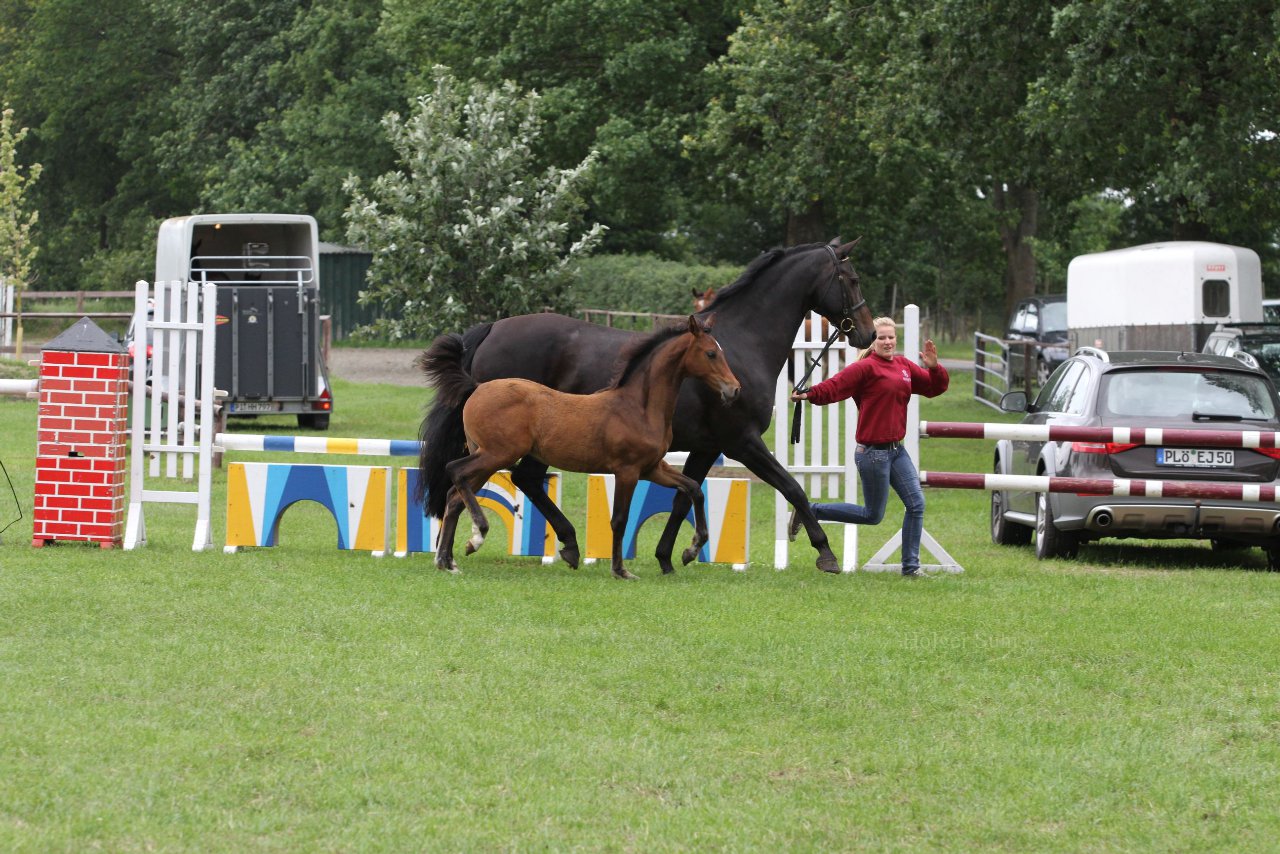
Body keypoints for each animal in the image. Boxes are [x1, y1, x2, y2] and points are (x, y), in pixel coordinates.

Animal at [419, 317, 742, 578]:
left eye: (722, 351)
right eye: (711, 353)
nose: (734, 389)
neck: (637, 407)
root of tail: (476, 387)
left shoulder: (653, 468)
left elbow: (694, 489)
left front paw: (690, 550)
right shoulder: (627, 471)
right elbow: (619, 519)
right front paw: (620, 570)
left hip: (487, 457)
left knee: (455, 496)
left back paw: (447, 561)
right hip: (496, 454)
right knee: (455, 472)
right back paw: (476, 536)